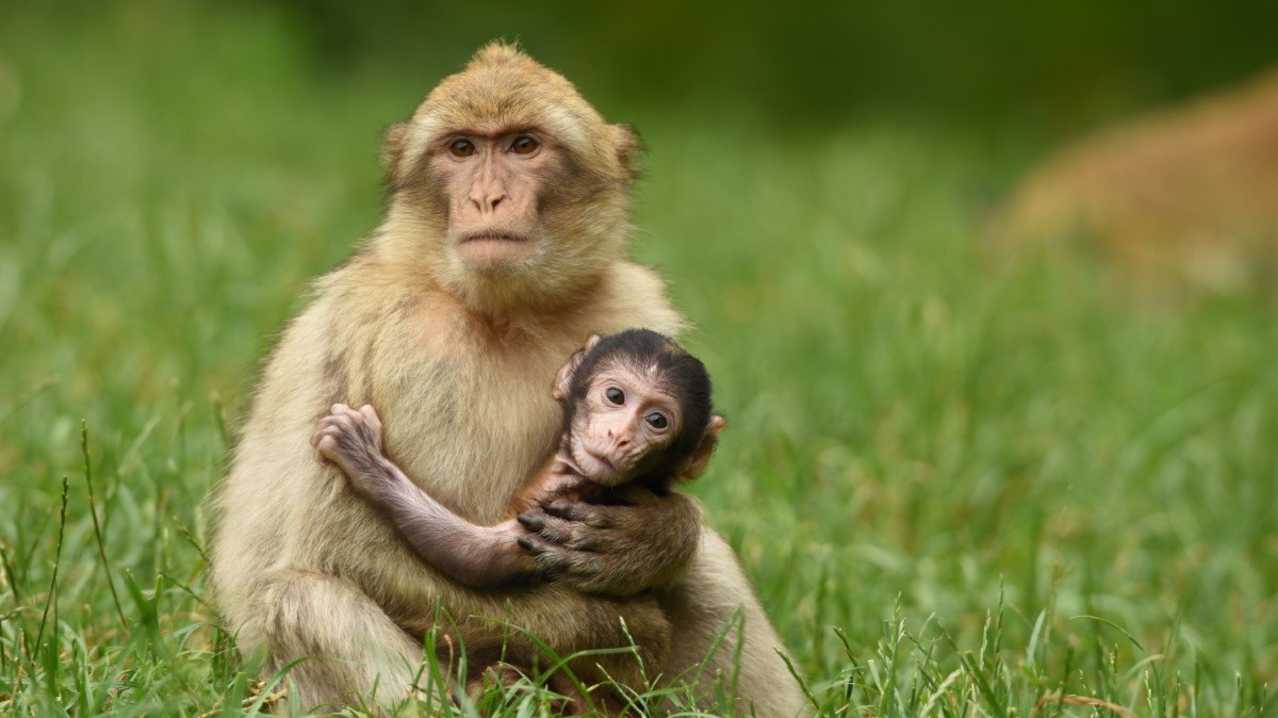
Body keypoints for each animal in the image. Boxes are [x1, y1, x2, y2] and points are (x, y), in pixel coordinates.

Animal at [312, 329, 727, 594]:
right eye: (615, 396)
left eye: (657, 421)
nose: (619, 435)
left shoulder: (571, 502)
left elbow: (477, 557)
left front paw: (365, 459)